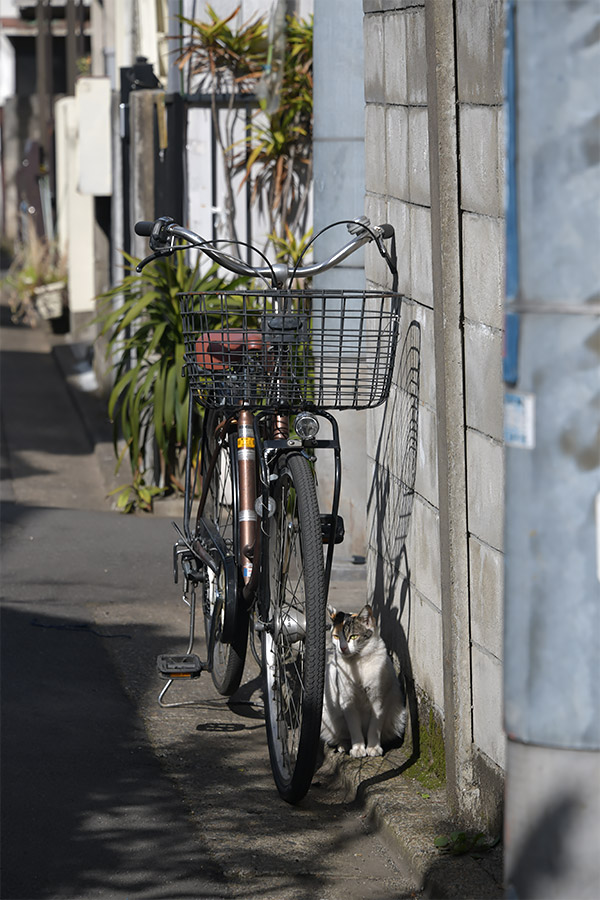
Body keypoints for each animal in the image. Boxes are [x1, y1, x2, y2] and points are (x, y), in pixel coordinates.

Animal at [322, 604, 406, 760]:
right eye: (336, 636)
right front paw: (358, 748)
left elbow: (375, 726)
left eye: (354, 636)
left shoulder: (379, 700)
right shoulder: (347, 701)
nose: (343, 647)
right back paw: (343, 745)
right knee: (341, 734)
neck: (358, 662)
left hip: (397, 718)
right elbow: (354, 728)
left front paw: (373, 748)